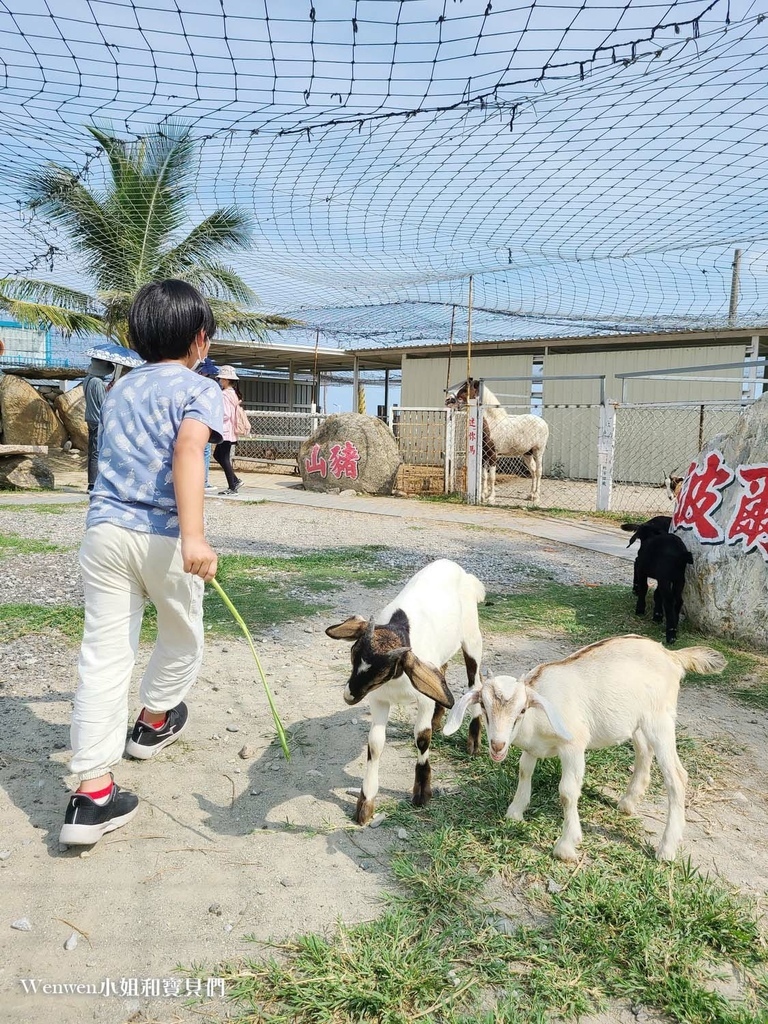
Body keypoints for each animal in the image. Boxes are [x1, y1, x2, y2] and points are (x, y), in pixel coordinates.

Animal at [325, 561, 483, 823]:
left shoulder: (423, 698)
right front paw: (365, 804)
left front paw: (422, 793)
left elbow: (422, 738)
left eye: (383, 671)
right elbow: (375, 743)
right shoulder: (379, 699)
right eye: (353, 653)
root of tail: (458, 569)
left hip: (472, 636)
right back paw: (440, 721)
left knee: (475, 682)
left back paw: (474, 742)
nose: (349, 695)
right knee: (443, 671)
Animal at [444, 634, 729, 860]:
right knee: (643, 751)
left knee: (677, 777)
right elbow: (524, 771)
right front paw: (515, 812)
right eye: (484, 706)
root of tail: (671, 655)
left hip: (660, 720)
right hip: (636, 721)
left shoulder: (573, 745)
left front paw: (566, 847)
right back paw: (628, 802)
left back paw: (666, 849)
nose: (497, 745)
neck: (535, 721)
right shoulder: (531, 748)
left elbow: (567, 792)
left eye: (522, 710)